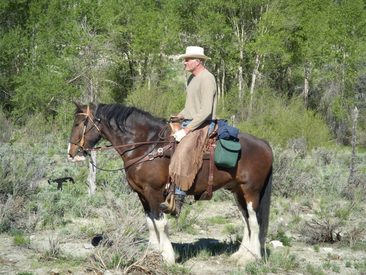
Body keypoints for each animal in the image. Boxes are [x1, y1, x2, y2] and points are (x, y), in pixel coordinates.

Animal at [68, 102, 272, 266]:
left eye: (78, 123)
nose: (71, 153)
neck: (147, 146)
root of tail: (264, 143)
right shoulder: (142, 193)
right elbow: (150, 222)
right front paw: (151, 252)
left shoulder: (154, 192)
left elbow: (160, 223)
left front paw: (167, 257)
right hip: (238, 191)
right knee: (246, 220)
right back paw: (240, 254)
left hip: (251, 191)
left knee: (255, 222)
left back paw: (252, 257)